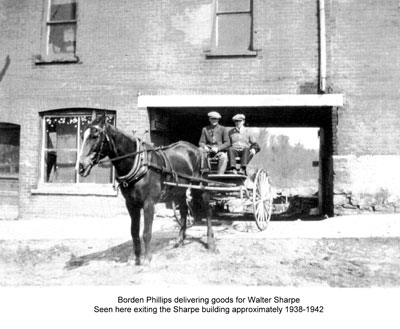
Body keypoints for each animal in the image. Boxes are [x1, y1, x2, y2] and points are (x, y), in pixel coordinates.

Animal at [78, 114, 216, 266]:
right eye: (82, 136)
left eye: (95, 136)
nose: (81, 166)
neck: (140, 163)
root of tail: (198, 150)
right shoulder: (131, 204)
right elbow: (134, 231)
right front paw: (136, 257)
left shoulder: (148, 203)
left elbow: (146, 232)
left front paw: (146, 259)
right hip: (178, 190)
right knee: (184, 211)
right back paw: (180, 240)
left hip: (201, 187)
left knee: (208, 211)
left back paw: (211, 243)